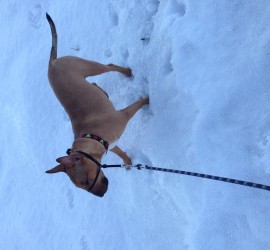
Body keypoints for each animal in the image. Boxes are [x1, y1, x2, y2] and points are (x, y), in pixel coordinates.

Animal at [45, 13, 149, 197]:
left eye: (85, 181)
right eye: (82, 186)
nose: (102, 195)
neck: (91, 136)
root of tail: (53, 63)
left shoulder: (124, 115)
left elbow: (138, 104)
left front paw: (147, 100)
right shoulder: (111, 144)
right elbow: (121, 153)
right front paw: (128, 162)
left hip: (89, 67)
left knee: (109, 66)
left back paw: (127, 72)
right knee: (94, 84)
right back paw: (104, 93)